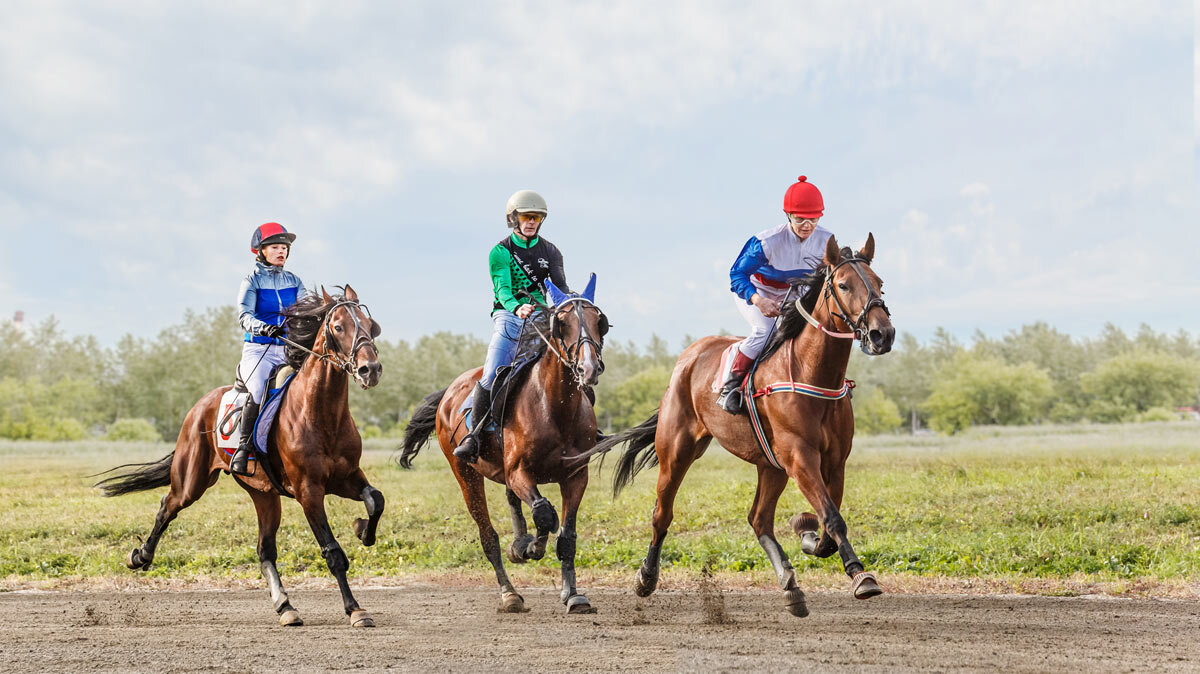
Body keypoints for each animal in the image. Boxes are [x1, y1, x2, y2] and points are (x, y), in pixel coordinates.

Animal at [94, 283, 384, 623]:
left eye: (369, 325)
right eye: (338, 326)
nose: (370, 369)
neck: (321, 414)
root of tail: (200, 404)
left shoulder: (347, 476)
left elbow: (375, 500)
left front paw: (363, 530)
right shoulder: (308, 491)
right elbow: (333, 551)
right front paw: (354, 609)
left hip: (264, 494)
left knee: (265, 549)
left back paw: (285, 606)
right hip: (192, 482)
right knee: (168, 505)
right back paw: (140, 556)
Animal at [400, 274, 609, 614]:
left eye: (598, 321)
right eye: (562, 323)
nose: (589, 368)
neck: (554, 406)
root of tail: (449, 393)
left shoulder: (576, 477)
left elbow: (566, 536)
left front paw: (573, 594)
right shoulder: (519, 472)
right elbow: (544, 513)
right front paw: (530, 548)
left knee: (515, 504)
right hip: (466, 475)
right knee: (489, 537)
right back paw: (509, 592)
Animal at [595, 235, 897, 614]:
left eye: (880, 283)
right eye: (843, 284)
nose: (882, 333)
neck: (812, 372)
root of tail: (690, 355)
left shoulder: (833, 460)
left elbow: (829, 525)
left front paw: (807, 532)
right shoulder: (800, 457)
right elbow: (832, 517)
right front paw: (860, 575)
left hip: (771, 466)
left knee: (758, 518)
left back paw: (790, 584)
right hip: (677, 451)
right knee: (662, 513)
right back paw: (646, 577)